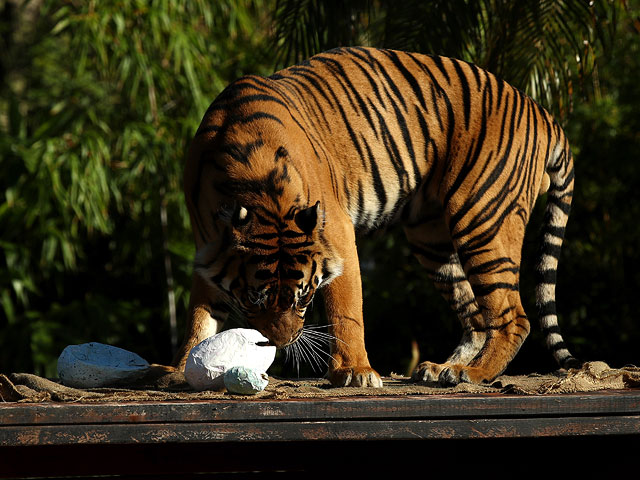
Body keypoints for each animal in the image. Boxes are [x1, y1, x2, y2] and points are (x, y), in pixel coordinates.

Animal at [172, 47, 584, 388]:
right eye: (255, 300)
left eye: (303, 298)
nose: (281, 342)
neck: (252, 182)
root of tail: (542, 113)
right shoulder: (208, 246)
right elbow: (200, 315)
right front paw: (180, 368)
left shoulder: (337, 235)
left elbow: (346, 309)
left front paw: (355, 370)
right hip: (430, 239)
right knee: (476, 316)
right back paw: (444, 368)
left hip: (483, 219)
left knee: (514, 317)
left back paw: (473, 373)